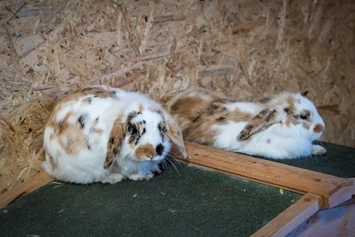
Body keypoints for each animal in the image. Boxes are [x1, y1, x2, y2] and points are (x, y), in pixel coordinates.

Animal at [43, 85, 188, 183]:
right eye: (132, 129)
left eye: (161, 128)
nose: (151, 153)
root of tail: (50, 165)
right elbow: (131, 172)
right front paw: (143, 176)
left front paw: (154, 170)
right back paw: (115, 178)